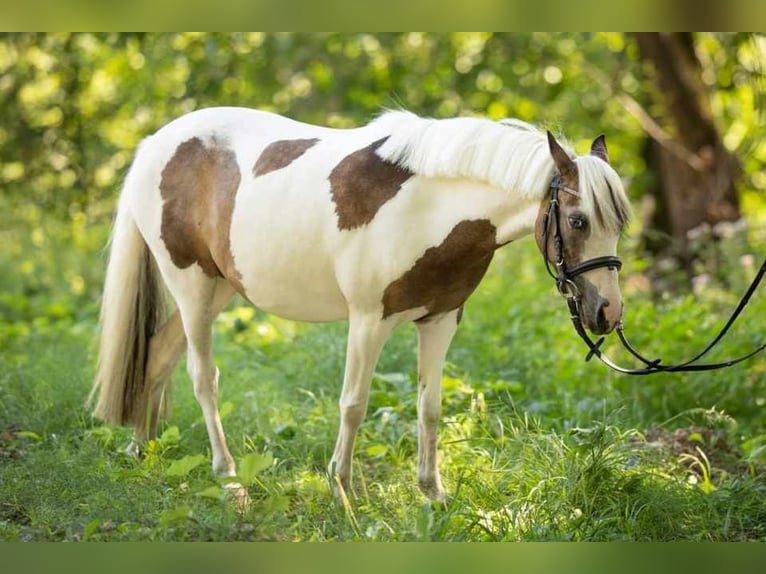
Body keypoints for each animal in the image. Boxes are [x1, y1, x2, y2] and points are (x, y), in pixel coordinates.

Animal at [88, 108, 632, 504]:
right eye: (579, 221)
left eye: (618, 224)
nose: (606, 313)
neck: (428, 208)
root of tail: (155, 144)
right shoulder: (369, 320)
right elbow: (353, 404)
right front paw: (344, 493)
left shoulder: (441, 319)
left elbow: (430, 406)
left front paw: (433, 494)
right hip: (193, 288)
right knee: (203, 377)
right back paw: (229, 479)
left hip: (218, 288)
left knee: (155, 356)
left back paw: (142, 451)